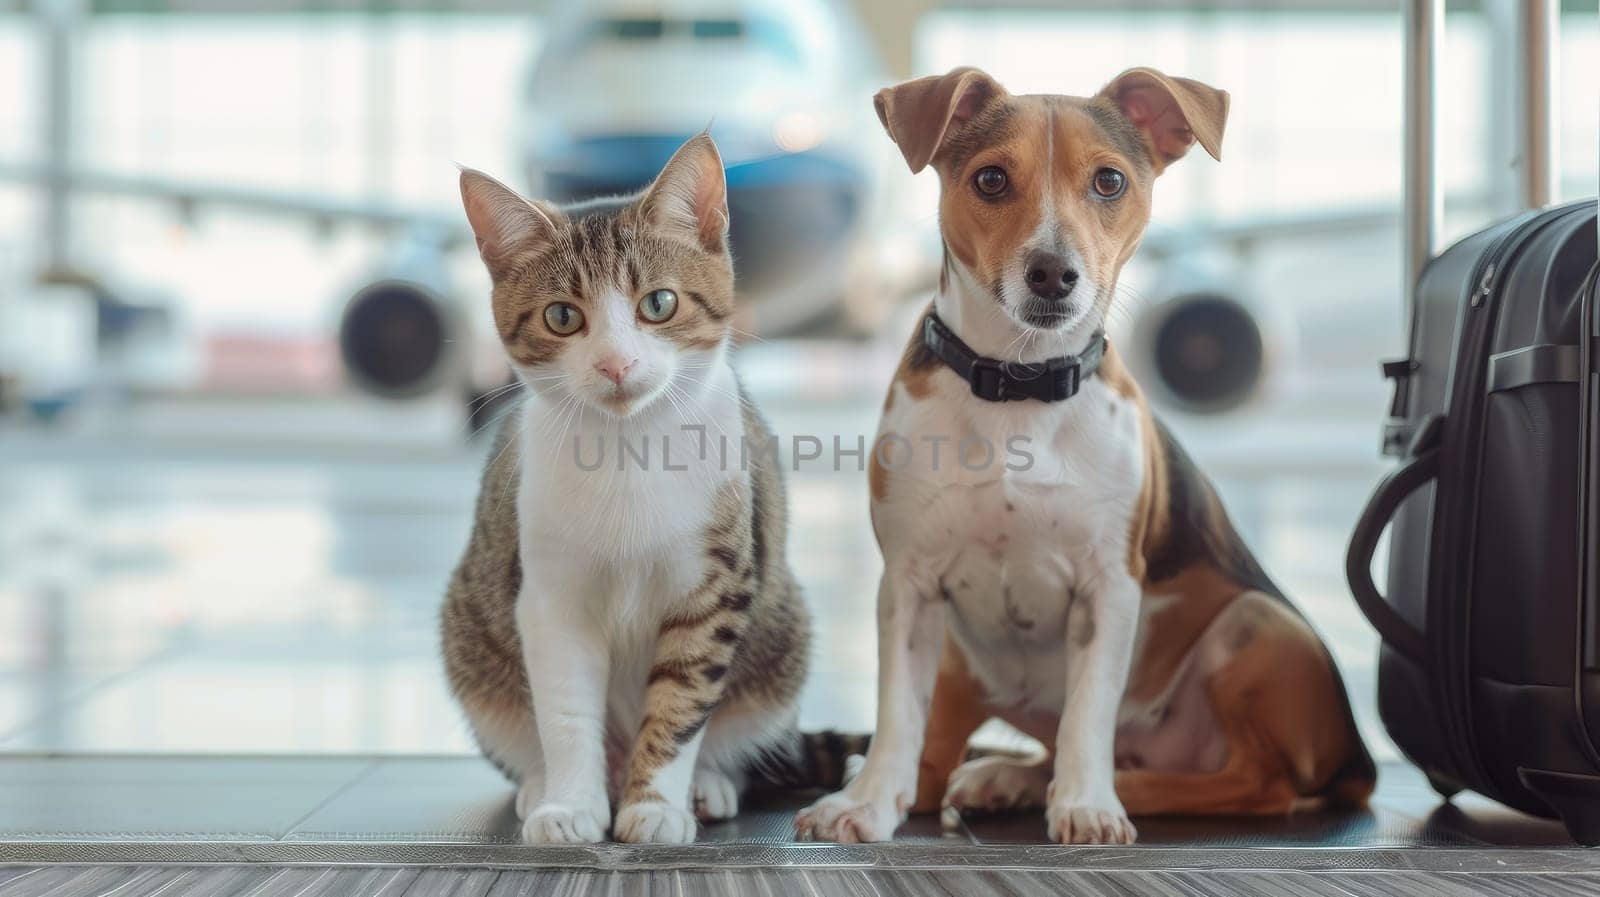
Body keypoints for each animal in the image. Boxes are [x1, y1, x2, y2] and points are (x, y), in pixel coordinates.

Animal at [438, 136, 838, 844]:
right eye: (562, 316)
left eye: (658, 304)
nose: (616, 363)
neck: (628, 448)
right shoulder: (549, 593)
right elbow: (565, 707)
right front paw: (570, 804)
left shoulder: (716, 585)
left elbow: (681, 702)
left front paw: (654, 805)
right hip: (470, 633)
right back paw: (542, 787)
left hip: (782, 630)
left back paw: (707, 784)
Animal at [793, 66, 1369, 844]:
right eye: (991, 178)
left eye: (1109, 181)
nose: (1052, 273)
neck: (1019, 385)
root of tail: (1358, 761)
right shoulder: (909, 584)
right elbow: (896, 715)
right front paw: (865, 802)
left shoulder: (1108, 587)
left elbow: (1088, 714)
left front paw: (1088, 803)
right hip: (967, 669)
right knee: (940, 763)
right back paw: (1002, 778)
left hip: (1256, 625)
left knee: (1259, 783)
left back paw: (1114, 787)